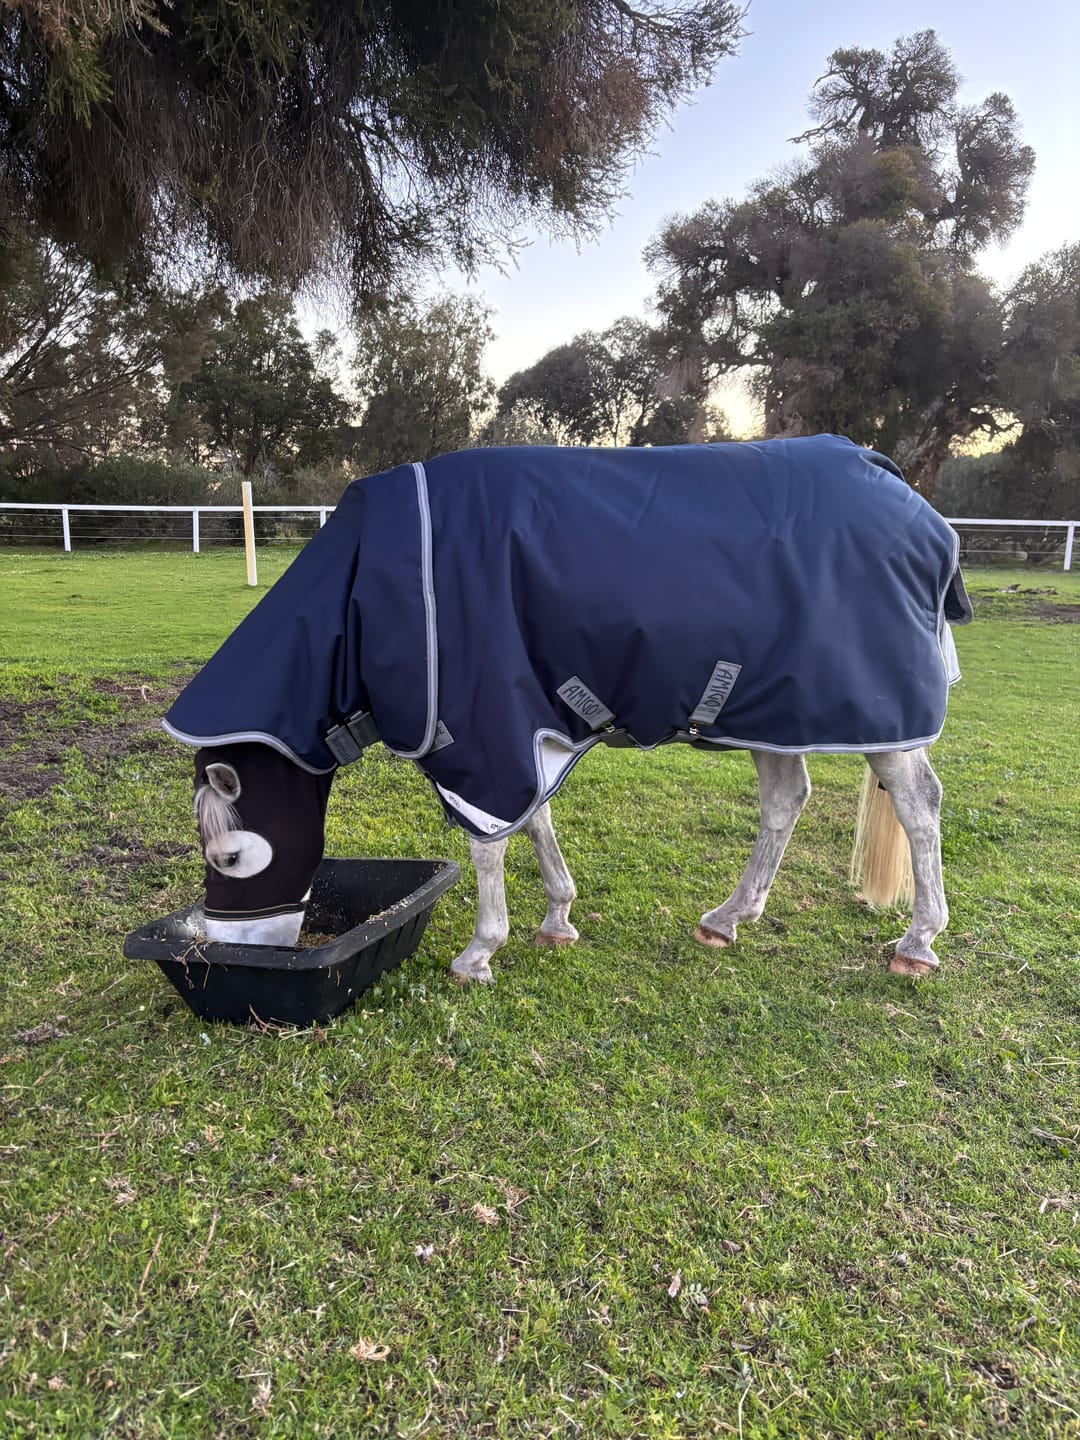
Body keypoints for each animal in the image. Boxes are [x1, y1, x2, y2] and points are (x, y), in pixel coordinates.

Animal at [163, 436, 972, 984]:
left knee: (919, 806)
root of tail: (893, 479)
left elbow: (490, 844)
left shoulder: (481, 730)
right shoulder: (520, 721)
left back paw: (918, 942)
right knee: (787, 799)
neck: (370, 587)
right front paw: (557, 918)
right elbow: (535, 821)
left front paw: (480, 951)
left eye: (228, 857)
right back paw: (727, 919)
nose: (234, 950)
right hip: (776, 712)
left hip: (881, 721)